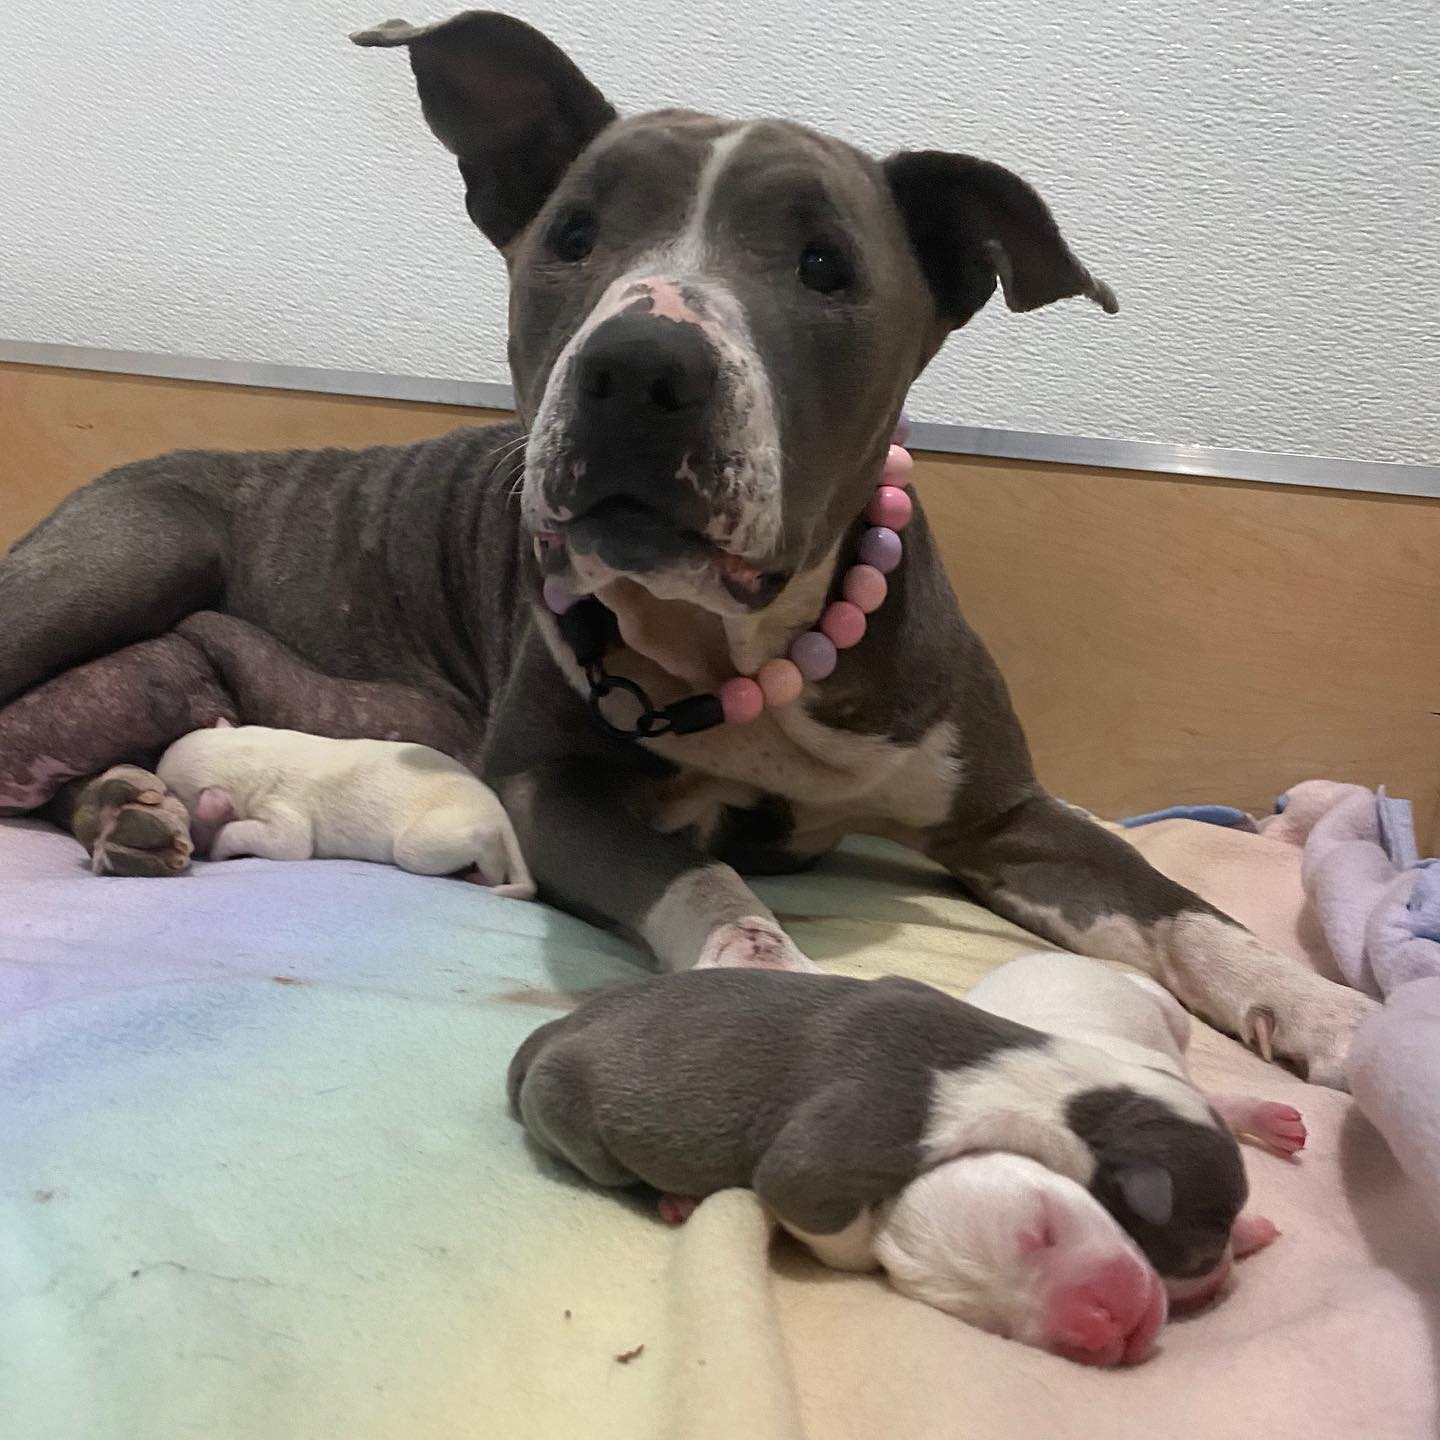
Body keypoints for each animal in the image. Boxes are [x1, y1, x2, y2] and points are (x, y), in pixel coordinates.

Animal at [154, 725, 535, 892]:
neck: (253, 751)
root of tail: (496, 809)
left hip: (439, 831)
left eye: (174, 794)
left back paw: (482, 874)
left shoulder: (284, 805)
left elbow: (290, 844)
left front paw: (219, 846)